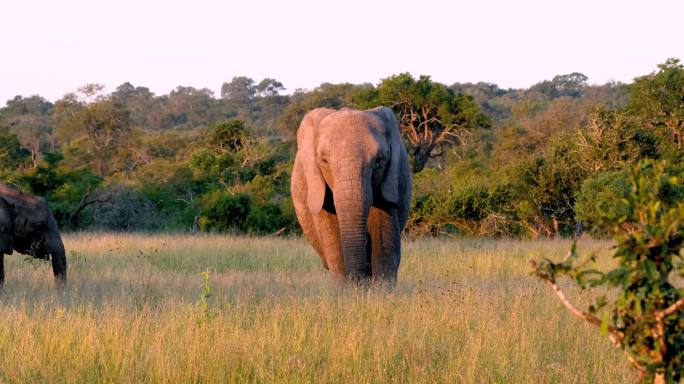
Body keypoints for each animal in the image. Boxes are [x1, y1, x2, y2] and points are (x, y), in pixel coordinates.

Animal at [290, 106, 412, 284]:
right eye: (324, 160)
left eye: (379, 160)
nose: (359, 281)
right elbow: (333, 243)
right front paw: (348, 289)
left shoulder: (390, 182)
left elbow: (384, 243)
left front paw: (381, 289)